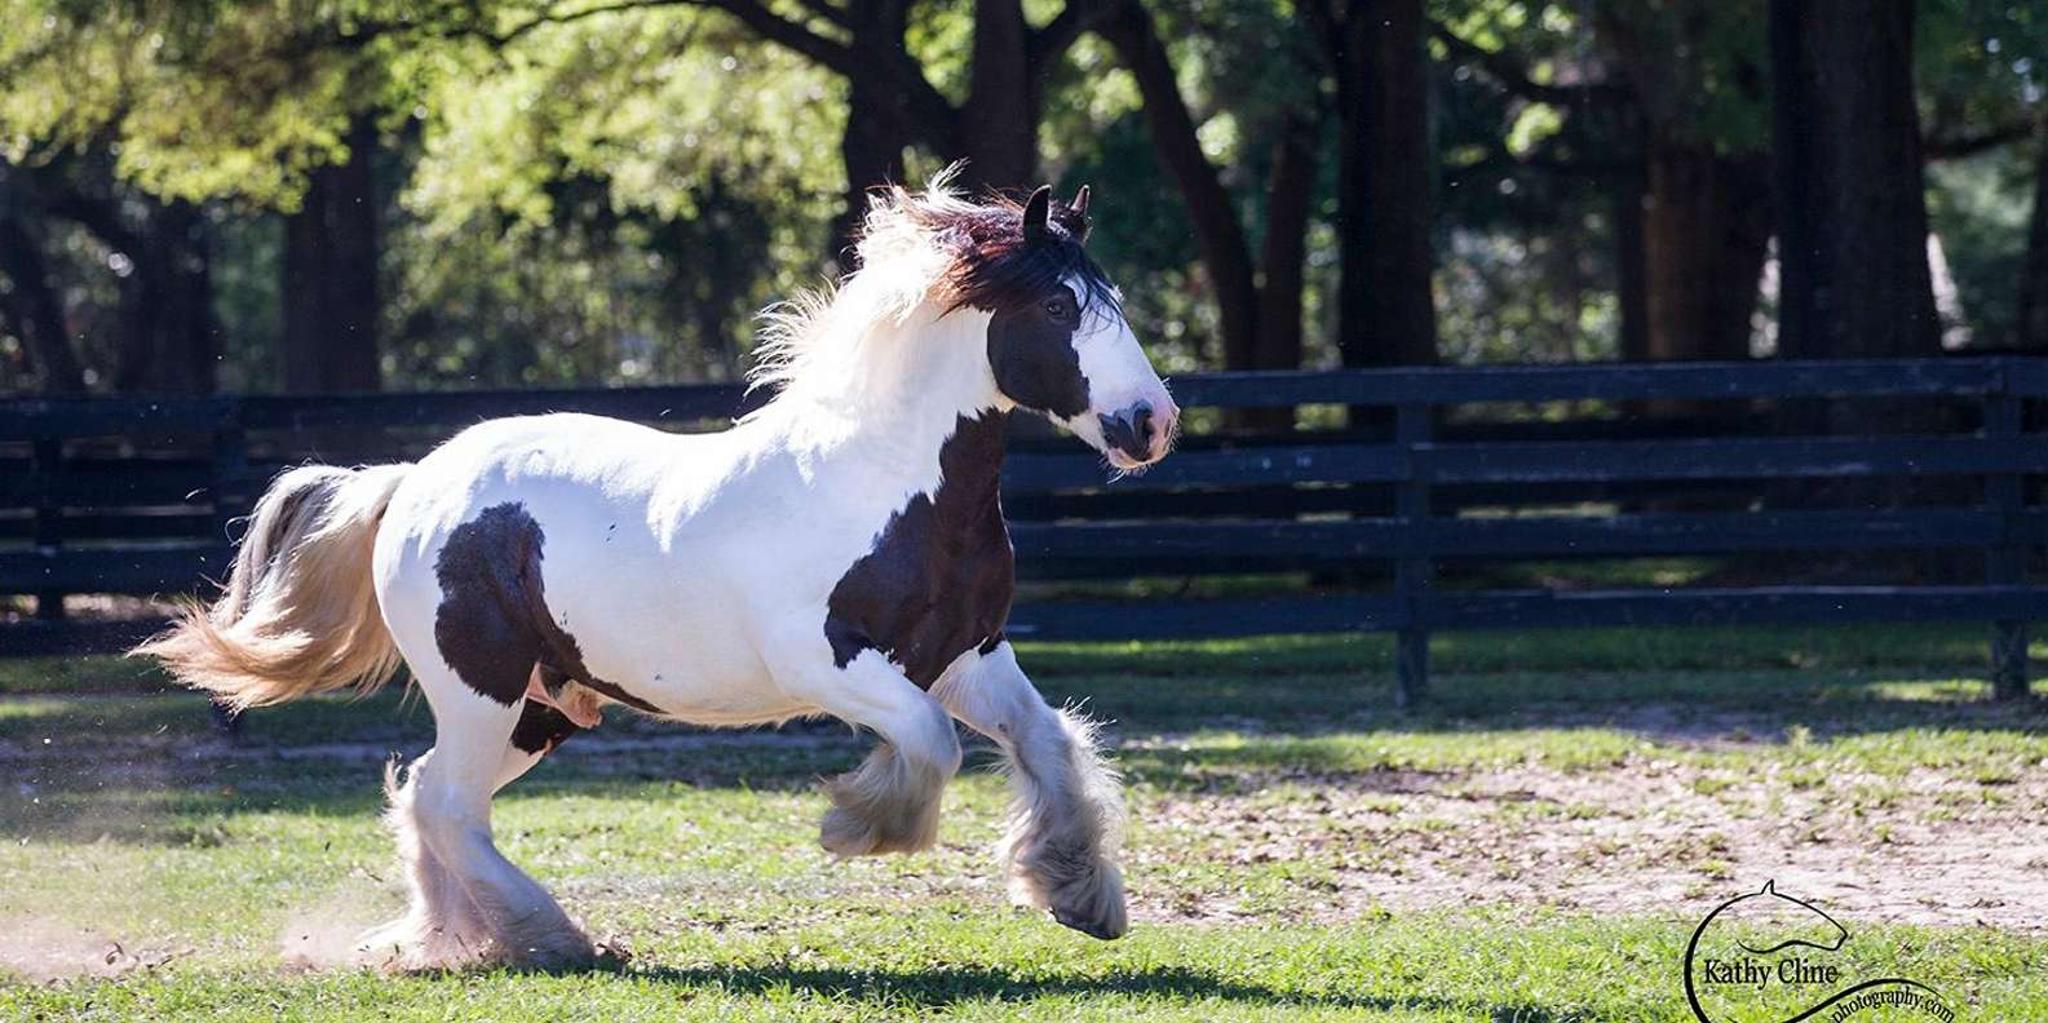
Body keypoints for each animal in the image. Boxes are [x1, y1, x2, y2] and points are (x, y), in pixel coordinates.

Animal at [135, 176, 1178, 971]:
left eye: (1118, 305)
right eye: (1059, 308)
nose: (1152, 425)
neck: (886, 481)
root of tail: (410, 482)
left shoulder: (967, 656)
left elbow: (1049, 744)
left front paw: (1079, 892)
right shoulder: (830, 664)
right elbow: (931, 745)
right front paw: (855, 826)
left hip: (541, 706)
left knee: (427, 795)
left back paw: (456, 939)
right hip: (481, 690)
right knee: (445, 800)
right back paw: (553, 938)